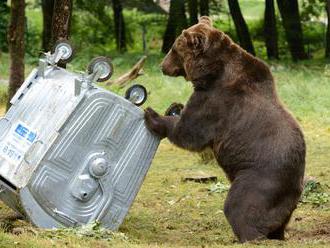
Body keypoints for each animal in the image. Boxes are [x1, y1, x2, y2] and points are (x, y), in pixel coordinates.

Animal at [145, 17, 306, 242]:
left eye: (174, 48)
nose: (162, 66)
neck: (210, 73)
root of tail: (296, 188)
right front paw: (174, 106)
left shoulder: (216, 101)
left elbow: (189, 132)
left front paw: (153, 114)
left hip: (259, 178)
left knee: (239, 206)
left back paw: (247, 235)